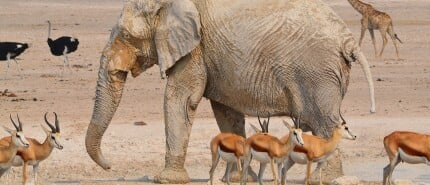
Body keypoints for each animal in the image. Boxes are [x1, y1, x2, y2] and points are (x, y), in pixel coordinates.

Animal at [86, 0, 376, 183]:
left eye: (127, 36)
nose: (110, 166)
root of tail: (348, 40)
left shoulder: (195, 48)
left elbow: (180, 100)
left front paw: (166, 180)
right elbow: (225, 111)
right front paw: (238, 178)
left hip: (316, 73)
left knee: (323, 121)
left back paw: (327, 180)